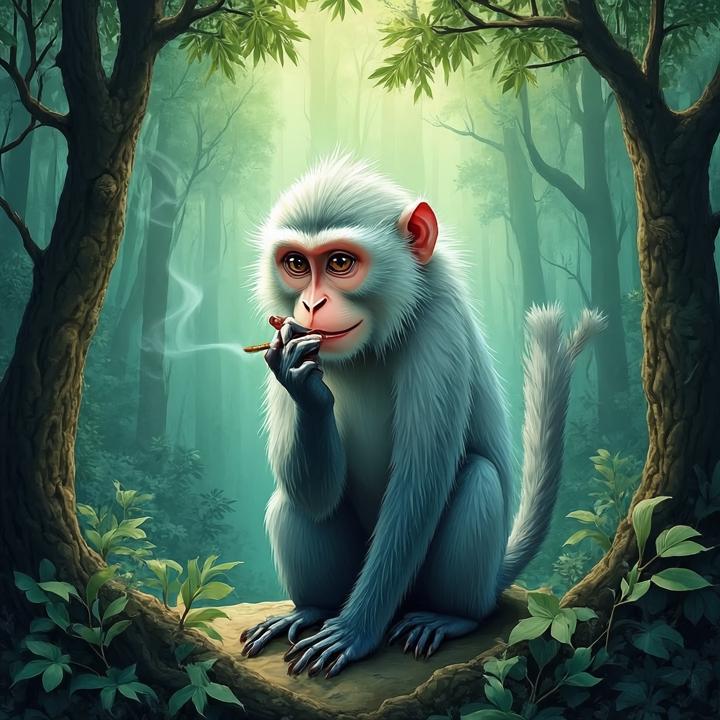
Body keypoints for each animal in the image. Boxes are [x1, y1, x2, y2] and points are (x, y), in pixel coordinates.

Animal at [240, 155, 604, 678]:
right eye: (296, 264)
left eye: (340, 263)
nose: (310, 304)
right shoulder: (286, 331)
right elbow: (313, 494)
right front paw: (304, 387)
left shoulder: (439, 325)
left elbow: (420, 485)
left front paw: (355, 632)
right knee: (291, 499)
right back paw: (312, 608)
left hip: (456, 583)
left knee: (478, 480)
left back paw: (449, 616)